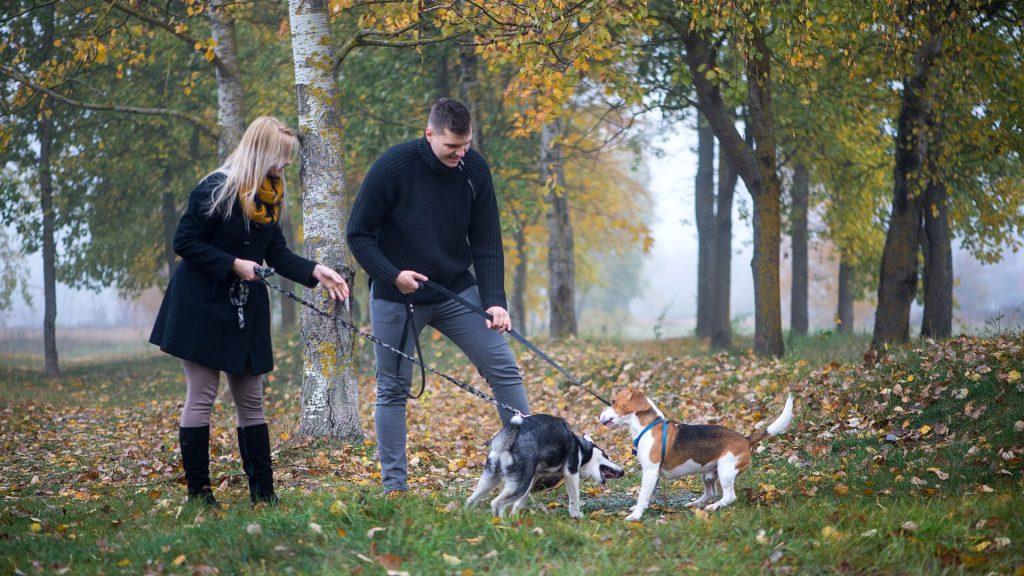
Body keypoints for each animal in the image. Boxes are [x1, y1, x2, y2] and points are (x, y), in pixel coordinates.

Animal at [466, 409, 622, 518]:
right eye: (606, 455)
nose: (622, 471)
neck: (580, 447)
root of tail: (503, 445)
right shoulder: (571, 473)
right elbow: (575, 498)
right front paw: (576, 515)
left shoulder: (533, 479)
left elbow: (520, 502)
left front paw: (514, 516)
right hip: (518, 485)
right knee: (496, 503)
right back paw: (502, 524)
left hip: (491, 480)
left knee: (471, 500)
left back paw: (469, 518)